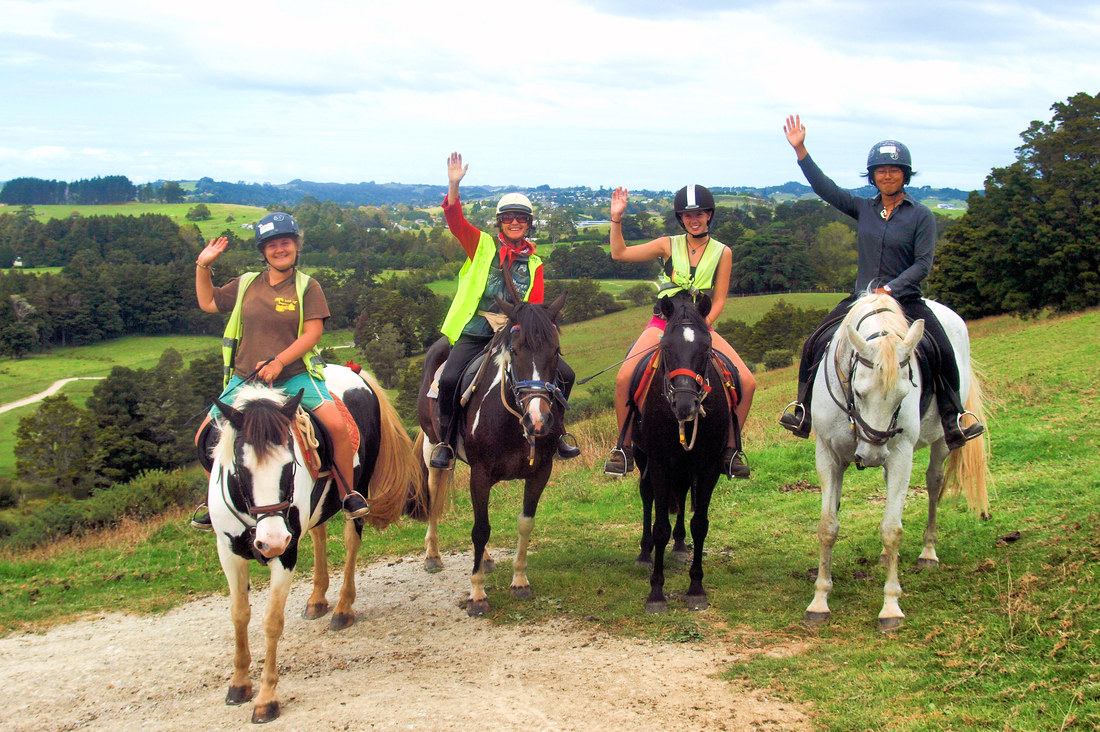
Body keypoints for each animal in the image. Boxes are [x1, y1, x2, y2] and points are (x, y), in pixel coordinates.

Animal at [205, 363, 415, 717]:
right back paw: (317, 599)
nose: (272, 541)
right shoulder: (228, 551)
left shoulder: (286, 554)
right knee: (318, 533)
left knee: (351, 540)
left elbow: (272, 621)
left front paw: (266, 698)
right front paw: (239, 684)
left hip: (355, 492)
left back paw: (342, 608)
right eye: (241, 468)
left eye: (289, 465)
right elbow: (239, 615)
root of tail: (354, 371)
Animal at [413, 290, 567, 616]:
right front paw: (477, 594)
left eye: (556, 351)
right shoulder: (480, 476)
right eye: (516, 351)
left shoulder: (540, 473)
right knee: (433, 498)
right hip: (434, 450)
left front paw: (519, 581)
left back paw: (484, 560)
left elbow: (524, 523)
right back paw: (432, 556)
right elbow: (480, 529)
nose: (538, 420)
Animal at [633, 290, 734, 612]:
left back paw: (679, 546)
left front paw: (696, 588)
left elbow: (699, 523)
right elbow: (659, 526)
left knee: (683, 493)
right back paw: (644, 554)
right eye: (666, 346)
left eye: (707, 346)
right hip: (642, 457)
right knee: (648, 496)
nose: (685, 405)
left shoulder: (709, 466)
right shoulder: (660, 463)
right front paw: (656, 592)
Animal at [805, 290, 994, 634]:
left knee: (933, 484)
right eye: (859, 392)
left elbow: (892, 529)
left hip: (940, 442)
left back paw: (928, 553)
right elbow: (828, 527)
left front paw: (890, 607)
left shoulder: (901, 455)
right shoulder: (827, 454)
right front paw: (819, 601)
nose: (872, 455)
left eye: (903, 394)